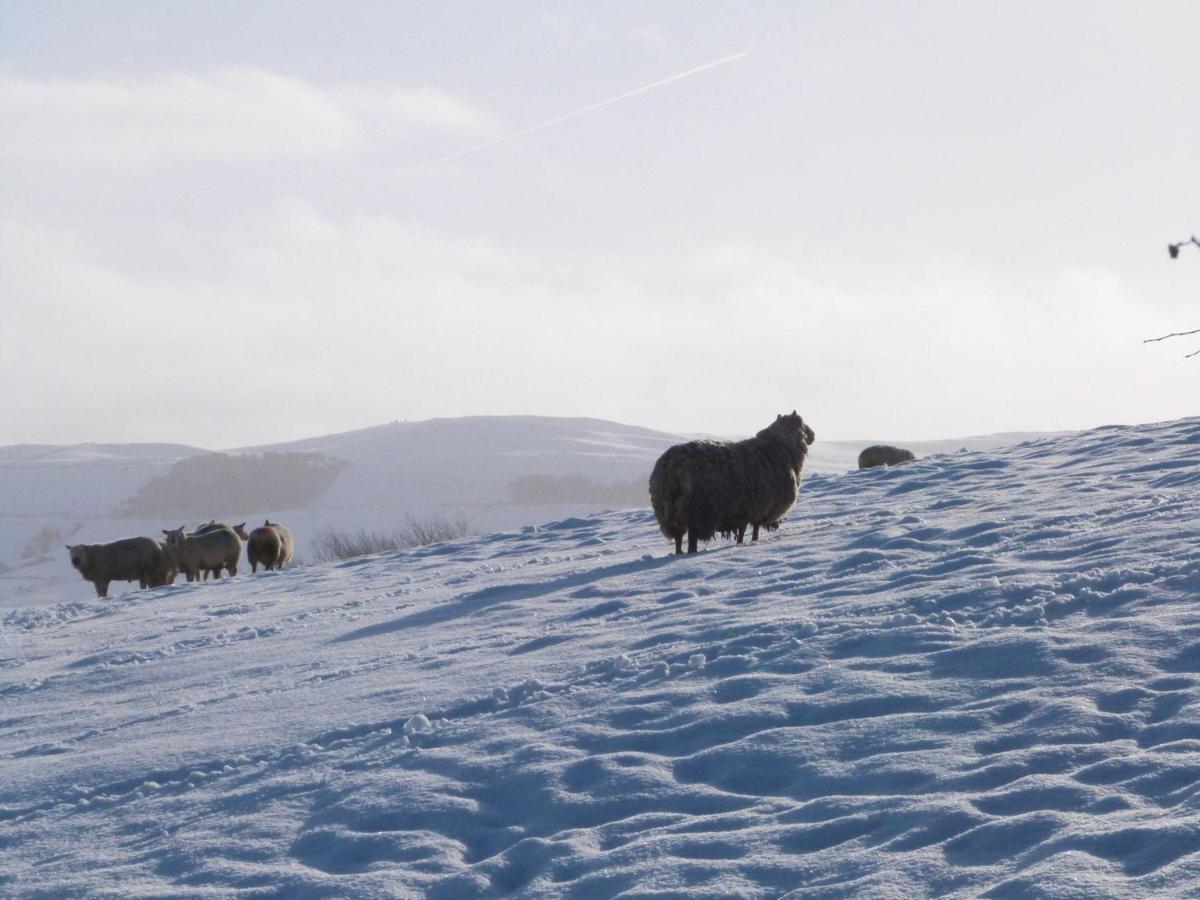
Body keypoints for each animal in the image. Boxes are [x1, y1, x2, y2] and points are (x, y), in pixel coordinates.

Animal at [648, 412, 816, 554]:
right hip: (697, 511)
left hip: (667, 511)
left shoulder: (745, 510)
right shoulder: (761, 507)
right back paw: (690, 553)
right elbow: (754, 530)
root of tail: (670, 466)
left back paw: (679, 553)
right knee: (691, 540)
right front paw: (753, 542)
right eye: (802, 423)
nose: (813, 435)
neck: (781, 447)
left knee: (678, 538)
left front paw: (741, 543)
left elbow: (742, 531)